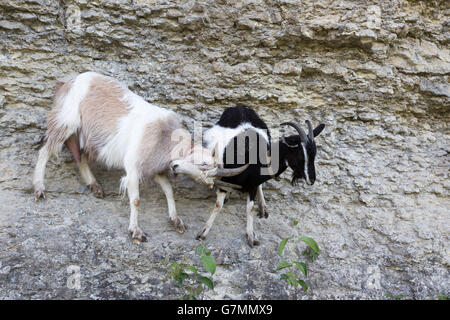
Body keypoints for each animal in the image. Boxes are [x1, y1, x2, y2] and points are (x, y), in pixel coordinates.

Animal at [33, 72, 246, 242]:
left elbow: (168, 190)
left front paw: (176, 221)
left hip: (84, 134)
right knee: (46, 150)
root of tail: (67, 83)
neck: (164, 136)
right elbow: (135, 199)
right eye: (202, 163)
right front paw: (136, 232)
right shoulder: (134, 167)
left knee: (81, 156)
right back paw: (39, 189)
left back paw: (95, 187)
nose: (210, 184)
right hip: (66, 121)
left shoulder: (155, 169)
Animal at [175, 105, 324, 248]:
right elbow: (218, 205)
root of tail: (240, 106)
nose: (312, 180)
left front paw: (251, 237)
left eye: (314, 154)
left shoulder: (252, 185)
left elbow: (250, 208)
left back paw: (262, 206)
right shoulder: (224, 177)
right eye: (300, 155)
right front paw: (203, 233)